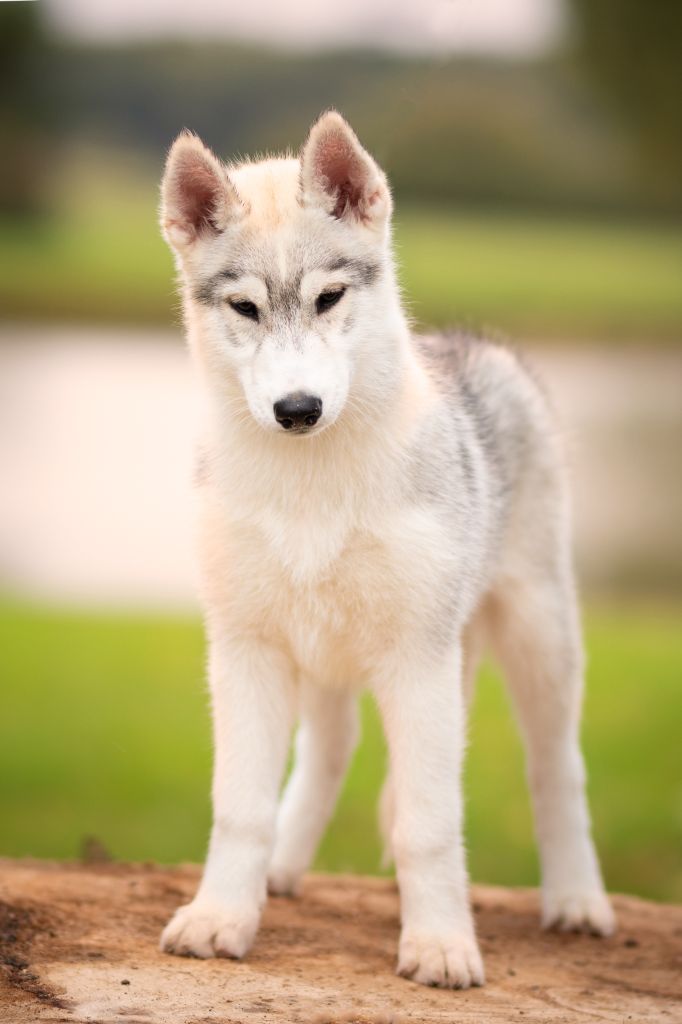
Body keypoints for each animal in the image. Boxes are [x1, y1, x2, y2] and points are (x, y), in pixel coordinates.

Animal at [158, 111, 615, 989]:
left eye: (329, 298)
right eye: (246, 309)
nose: (296, 409)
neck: (311, 483)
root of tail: (477, 344)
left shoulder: (418, 658)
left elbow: (431, 824)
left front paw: (439, 943)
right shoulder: (245, 651)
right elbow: (240, 808)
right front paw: (223, 916)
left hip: (539, 636)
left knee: (558, 772)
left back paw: (578, 901)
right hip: (325, 657)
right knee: (330, 751)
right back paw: (280, 871)